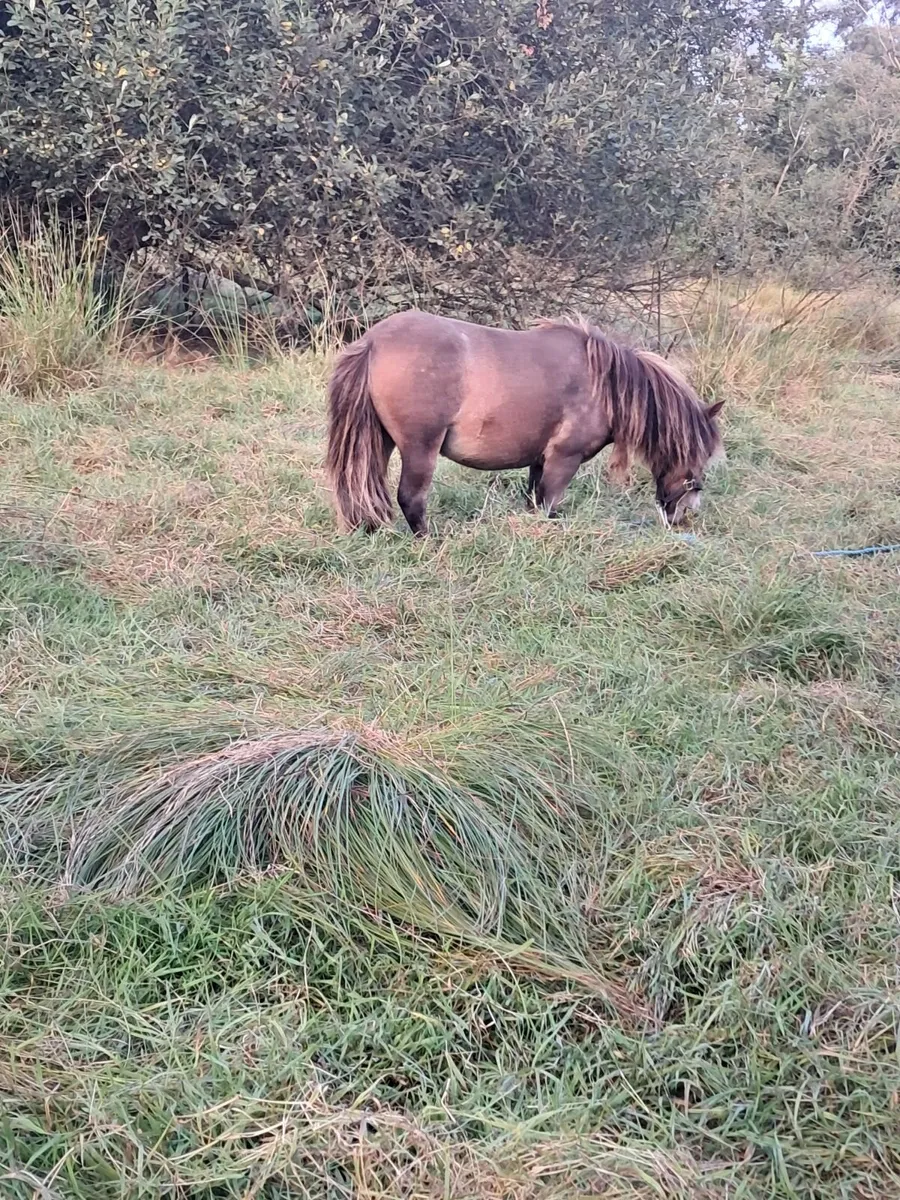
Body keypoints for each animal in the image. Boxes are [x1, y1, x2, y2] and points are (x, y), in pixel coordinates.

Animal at [325, 310, 724, 535]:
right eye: (697, 455)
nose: (684, 516)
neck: (604, 383)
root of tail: (373, 341)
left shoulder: (540, 461)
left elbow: (534, 500)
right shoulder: (564, 460)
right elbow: (549, 504)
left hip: (381, 441)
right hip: (419, 447)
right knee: (411, 497)